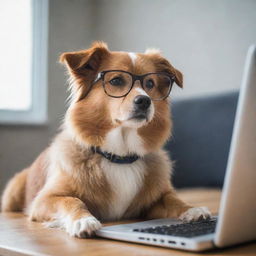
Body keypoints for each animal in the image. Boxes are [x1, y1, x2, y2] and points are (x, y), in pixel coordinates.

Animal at [1, 41, 211, 238]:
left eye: (150, 84)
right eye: (116, 80)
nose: (144, 101)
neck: (120, 155)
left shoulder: (154, 200)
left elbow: (172, 199)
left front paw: (192, 209)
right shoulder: (44, 200)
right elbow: (72, 200)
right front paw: (83, 220)